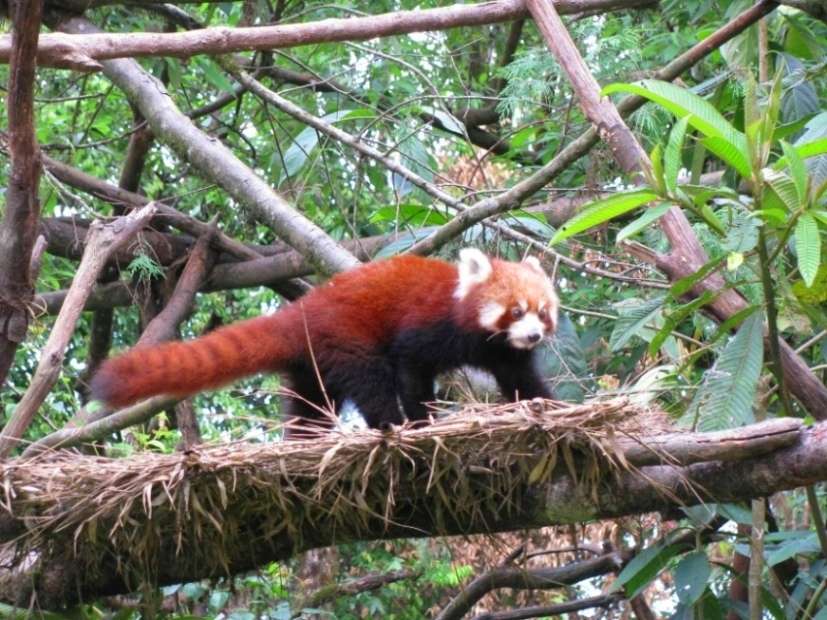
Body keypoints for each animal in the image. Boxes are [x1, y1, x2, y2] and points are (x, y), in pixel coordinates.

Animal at [92, 247, 564, 432]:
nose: (534, 334)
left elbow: (523, 381)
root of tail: (303, 311)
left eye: (543, 312)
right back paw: (388, 423)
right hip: (346, 339)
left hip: (314, 365)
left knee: (310, 405)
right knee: (371, 380)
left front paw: (550, 406)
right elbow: (410, 370)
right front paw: (419, 420)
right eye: (516, 310)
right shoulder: (429, 326)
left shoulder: (504, 352)